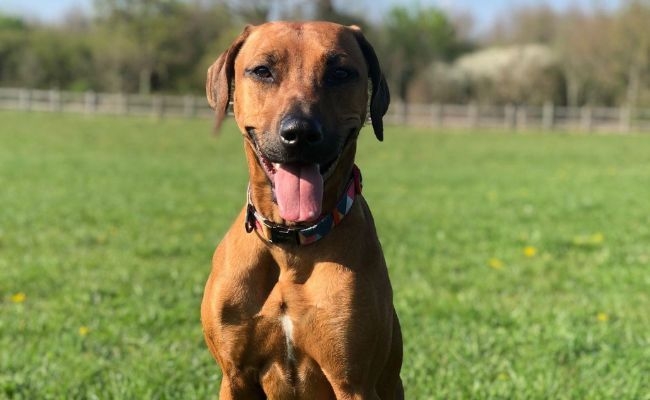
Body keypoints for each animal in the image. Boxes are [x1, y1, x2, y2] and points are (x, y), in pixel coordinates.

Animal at [200, 21, 402, 400]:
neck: (289, 244)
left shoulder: (353, 383)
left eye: (340, 73)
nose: (300, 133)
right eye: (262, 71)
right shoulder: (234, 377)